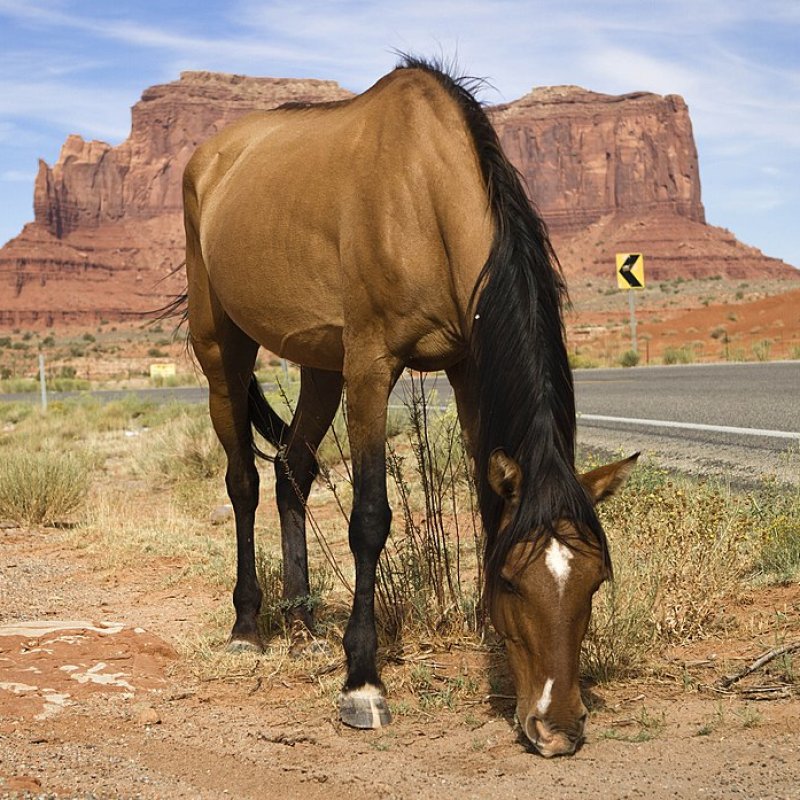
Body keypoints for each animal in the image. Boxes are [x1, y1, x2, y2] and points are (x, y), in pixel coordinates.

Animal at [181, 56, 636, 756]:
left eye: (596, 579)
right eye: (514, 580)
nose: (557, 728)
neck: (422, 191)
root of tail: (209, 158)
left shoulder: (468, 369)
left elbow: (485, 501)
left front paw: (488, 637)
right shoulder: (372, 366)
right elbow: (369, 518)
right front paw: (362, 683)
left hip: (321, 363)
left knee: (292, 470)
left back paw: (302, 620)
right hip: (222, 349)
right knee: (244, 483)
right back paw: (248, 626)